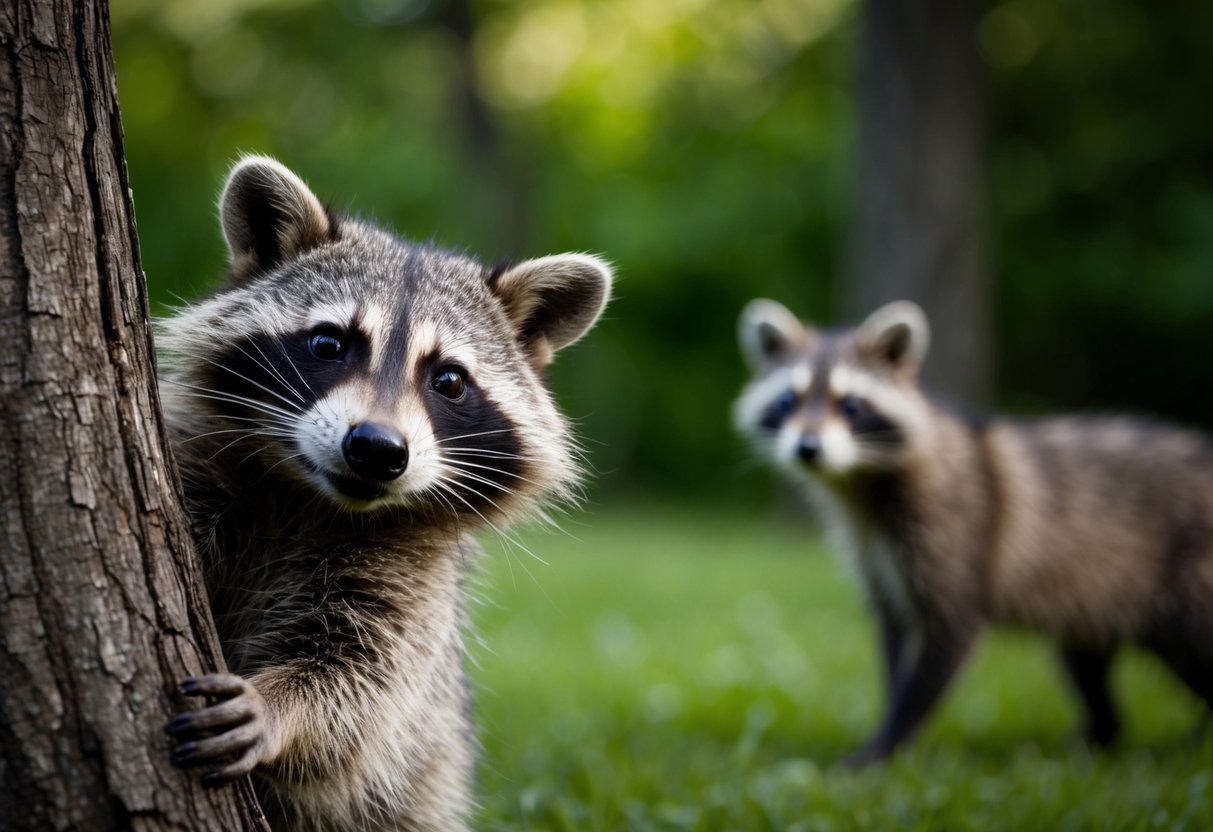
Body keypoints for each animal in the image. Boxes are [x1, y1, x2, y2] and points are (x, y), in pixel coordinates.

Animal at [158, 156, 611, 830]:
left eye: (448, 379)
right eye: (329, 343)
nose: (375, 447)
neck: (309, 499)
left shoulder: (413, 578)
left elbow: (364, 685)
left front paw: (279, 708)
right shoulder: (202, 465)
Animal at [735, 298, 1213, 763]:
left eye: (851, 405)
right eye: (787, 401)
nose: (808, 448)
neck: (858, 480)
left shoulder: (958, 527)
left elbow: (948, 633)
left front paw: (890, 741)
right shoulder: (881, 560)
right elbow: (895, 640)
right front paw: (892, 722)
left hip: (1185, 582)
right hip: (1097, 592)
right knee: (1085, 662)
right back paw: (1102, 733)